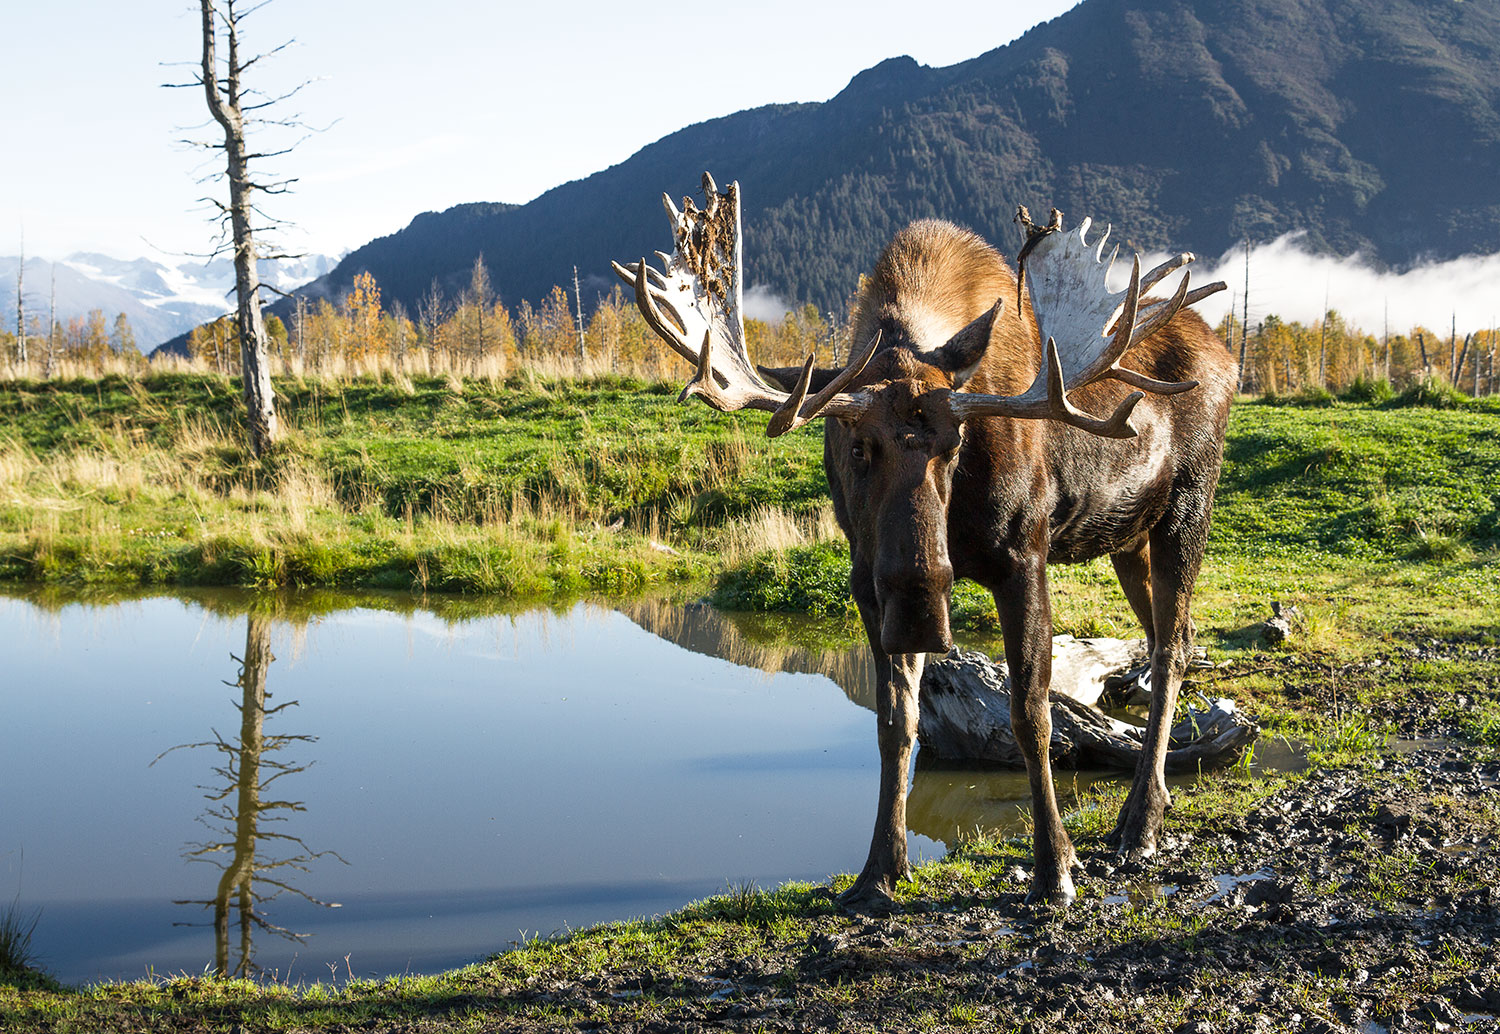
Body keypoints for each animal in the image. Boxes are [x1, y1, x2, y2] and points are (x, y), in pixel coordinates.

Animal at [615, 173, 1236, 906]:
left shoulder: (1023, 556)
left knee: (1171, 647)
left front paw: (1055, 868)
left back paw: (1139, 822)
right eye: (857, 445)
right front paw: (880, 870)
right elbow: (894, 721)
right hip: (1127, 539)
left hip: (1187, 510)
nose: (920, 600)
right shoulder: (866, 579)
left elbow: (1031, 714)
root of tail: (1226, 355)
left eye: (956, 444)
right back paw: (1149, 806)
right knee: (1174, 634)